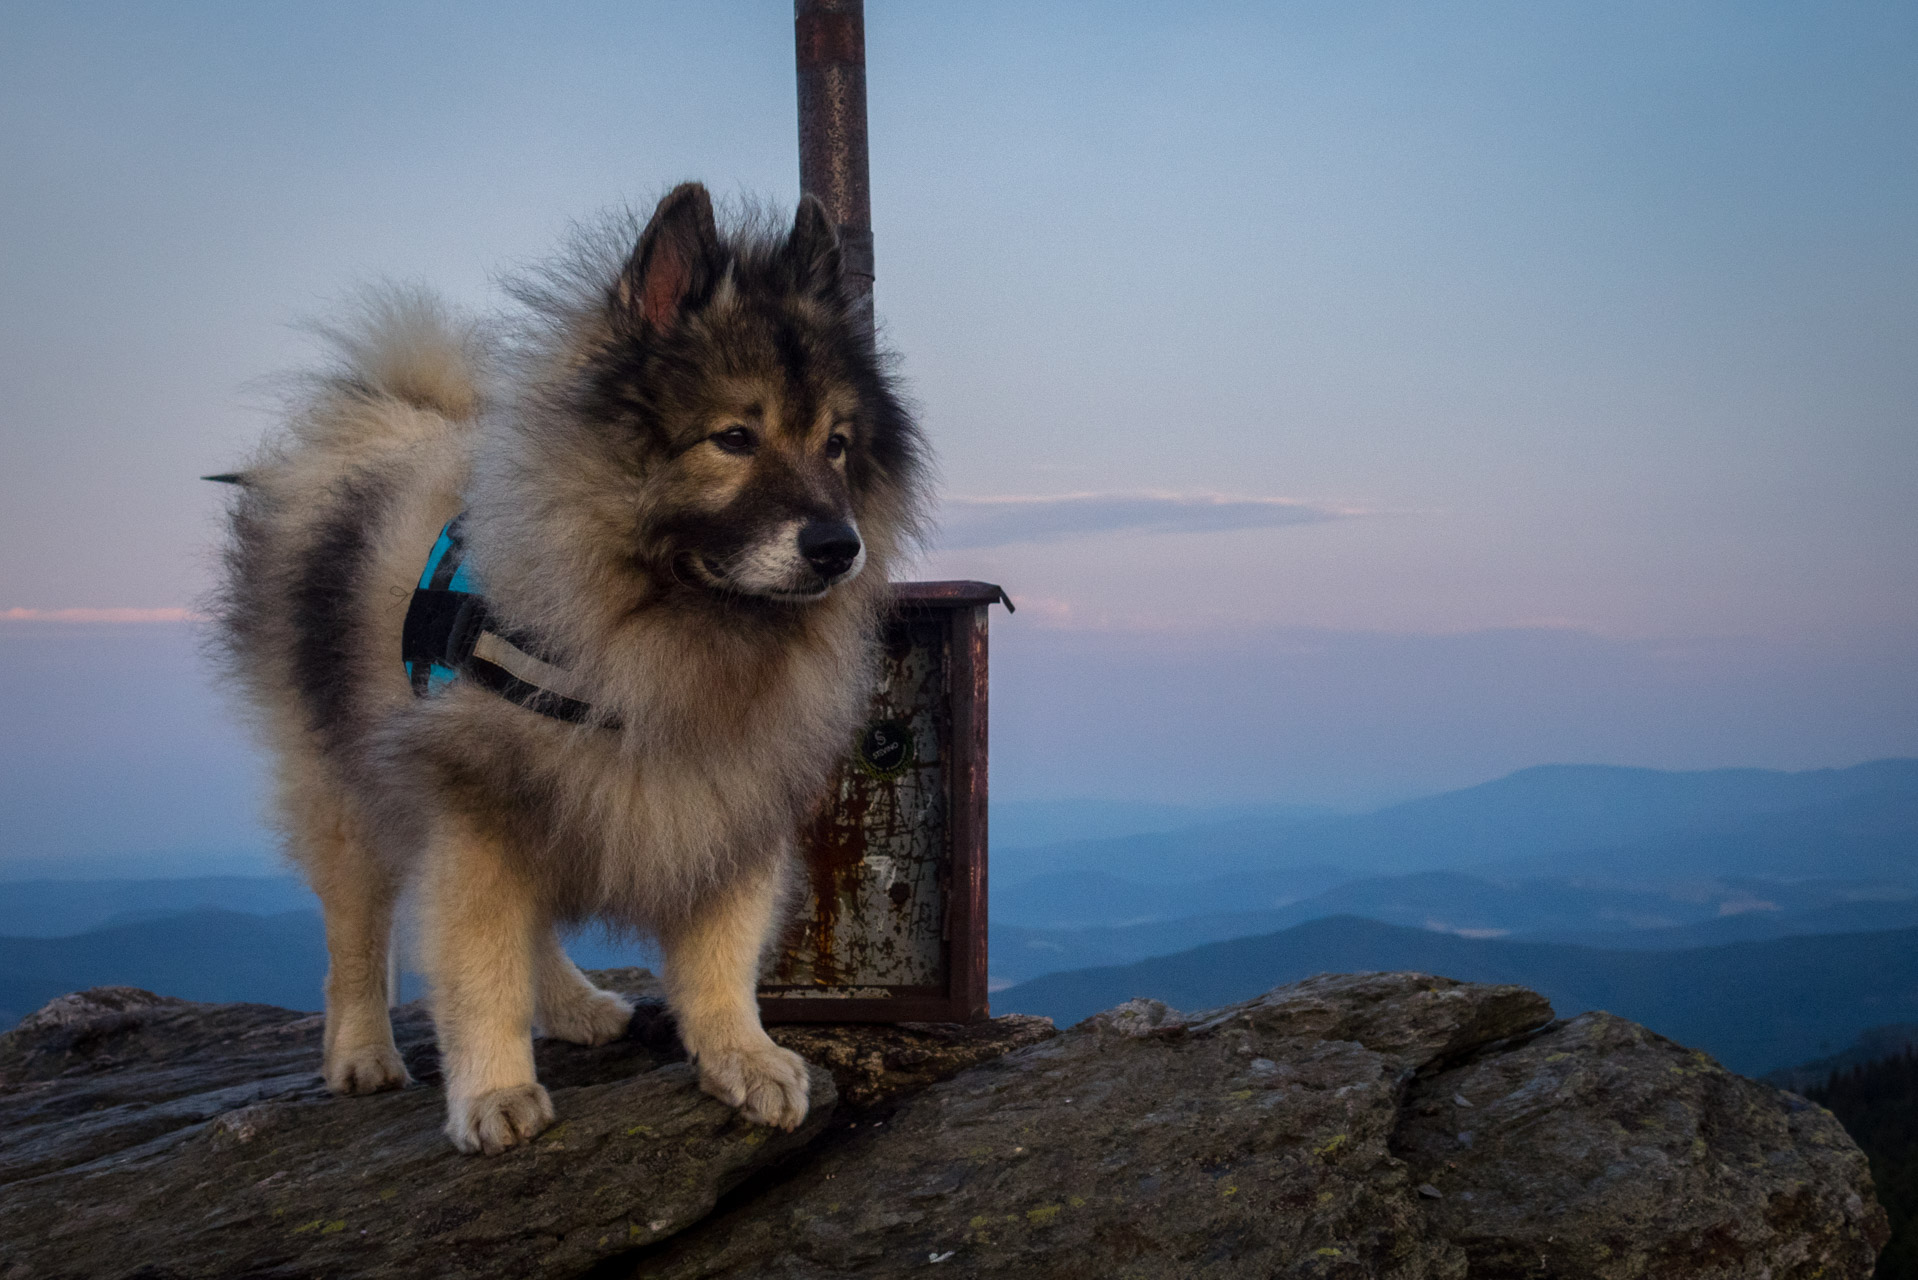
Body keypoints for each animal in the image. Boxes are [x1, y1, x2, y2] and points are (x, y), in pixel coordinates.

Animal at [217, 185, 928, 1159]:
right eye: (734, 438)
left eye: (838, 444)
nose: (836, 547)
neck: (665, 624)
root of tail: (387, 425)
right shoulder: (474, 804)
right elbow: (477, 961)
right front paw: (492, 1088)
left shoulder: (724, 795)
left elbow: (719, 951)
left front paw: (740, 1054)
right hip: (348, 791)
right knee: (357, 934)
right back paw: (361, 1052)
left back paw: (574, 1008)